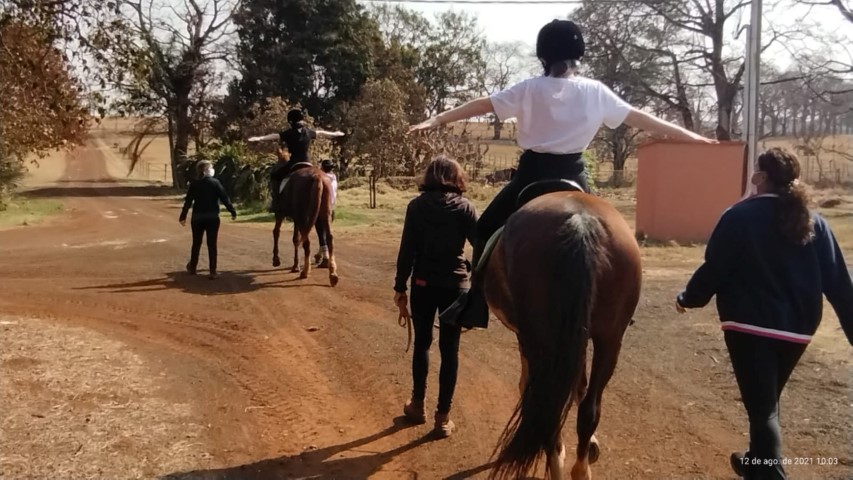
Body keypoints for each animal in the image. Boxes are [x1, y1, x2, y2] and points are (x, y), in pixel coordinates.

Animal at [481, 185, 641, 480]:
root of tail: (580, 221)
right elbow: (580, 386)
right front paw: (591, 446)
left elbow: (529, 385)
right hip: (609, 339)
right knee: (589, 408)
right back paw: (580, 468)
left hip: (542, 341)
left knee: (548, 409)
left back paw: (556, 460)